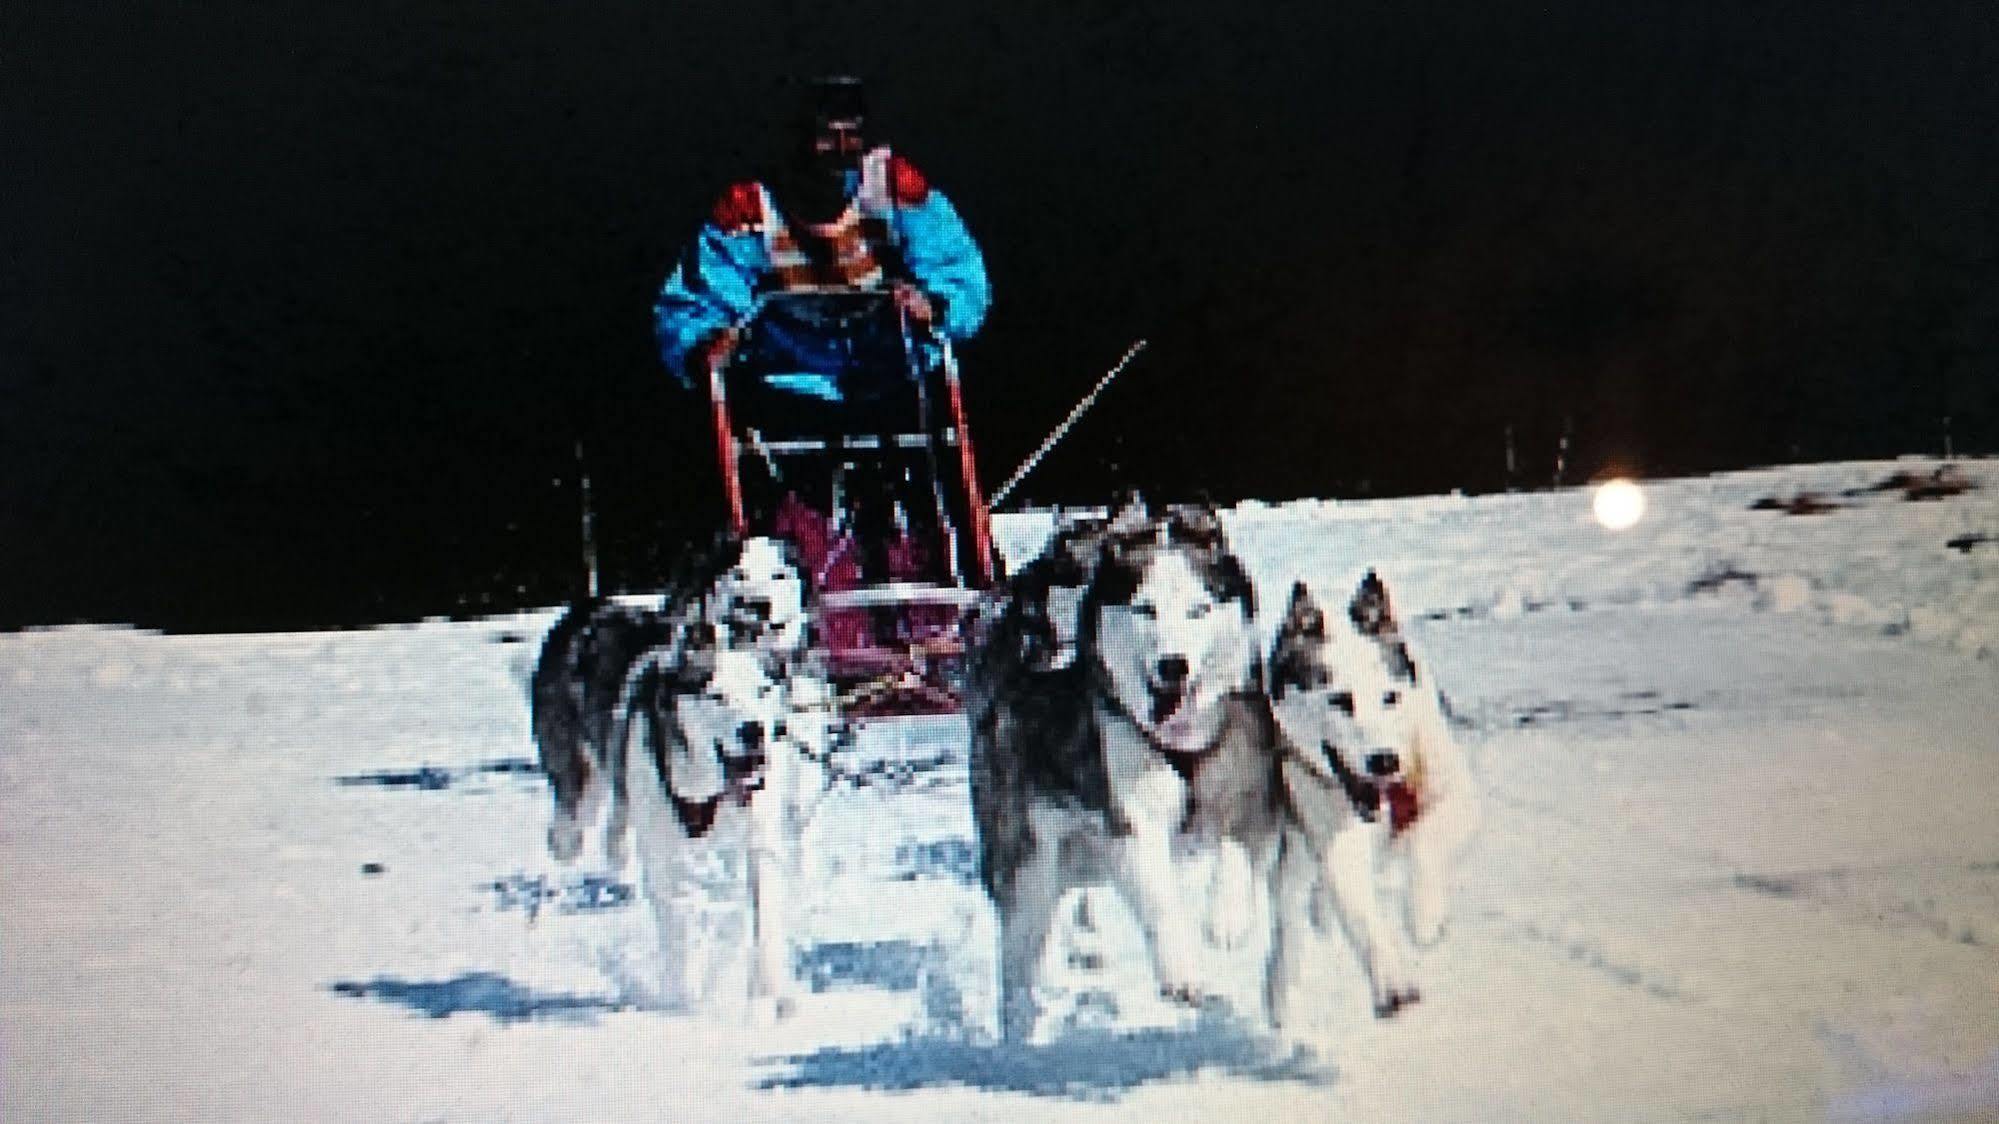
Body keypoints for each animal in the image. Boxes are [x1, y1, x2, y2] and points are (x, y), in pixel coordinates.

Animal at [1263, 572, 1487, 1020]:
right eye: (1339, 699)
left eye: (1390, 697)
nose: (1385, 761)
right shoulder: (1331, 831)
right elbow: (1361, 911)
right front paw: (1392, 982)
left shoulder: (1454, 792)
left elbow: (1427, 840)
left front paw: (1425, 912)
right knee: (1291, 912)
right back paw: (1285, 988)